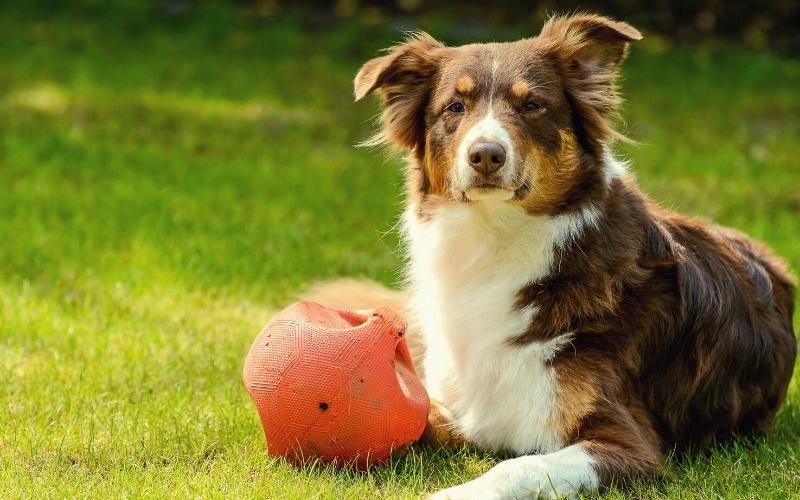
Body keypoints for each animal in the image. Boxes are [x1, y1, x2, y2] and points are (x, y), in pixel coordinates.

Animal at [310, 13, 796, 498]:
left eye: (532, 105)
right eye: (454, 107)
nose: (485, 155)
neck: (495, 240)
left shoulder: (629, 442)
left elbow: (518, 466)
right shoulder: (456, 407)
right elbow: (410, 420)